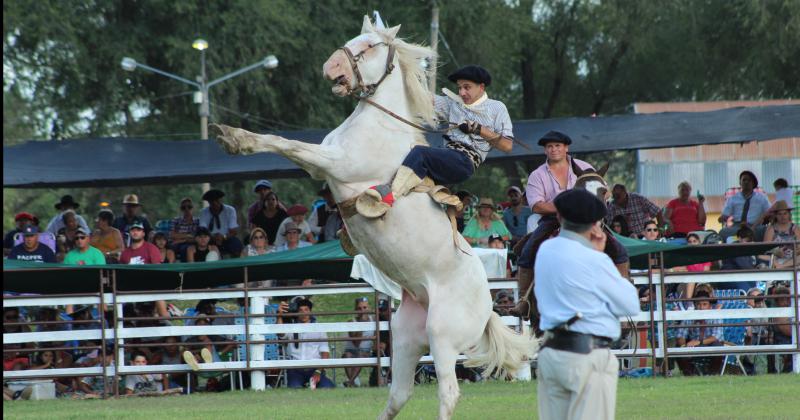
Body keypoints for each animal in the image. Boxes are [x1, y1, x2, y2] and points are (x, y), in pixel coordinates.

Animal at [212, 13, 532, 420]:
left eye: (368, 46)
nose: (330, 67)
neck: (382, 124)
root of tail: (488, 306)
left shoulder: (336, 163)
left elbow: (286, 144)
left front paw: (235, 138)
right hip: (407, 337)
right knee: (399, 394)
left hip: (442, 336)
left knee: (448, 392)